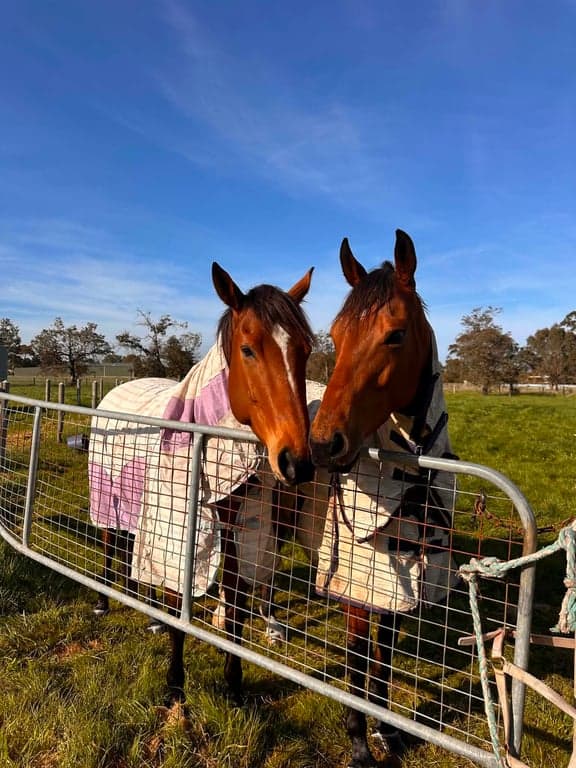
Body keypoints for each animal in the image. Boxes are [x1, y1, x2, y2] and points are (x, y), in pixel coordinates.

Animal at [88, 261, 315, 704]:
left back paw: (148, 611)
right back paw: (106, 600)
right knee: (109, 545)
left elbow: (239, 608)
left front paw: (234, 685)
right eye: (248, 349)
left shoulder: (244, 530)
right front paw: (174, 685)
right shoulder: (182, 529)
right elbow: (181, 607)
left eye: (306, 350)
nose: (296, 461)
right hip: (110, 501)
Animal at [309, 230, 457, 768]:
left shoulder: (399, 583)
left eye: (395, 334)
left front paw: (387, 730)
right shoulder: (356, 583)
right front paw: (358, 742)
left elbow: (384, 657)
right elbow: (356, 657)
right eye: (335, 335)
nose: (322, 444)